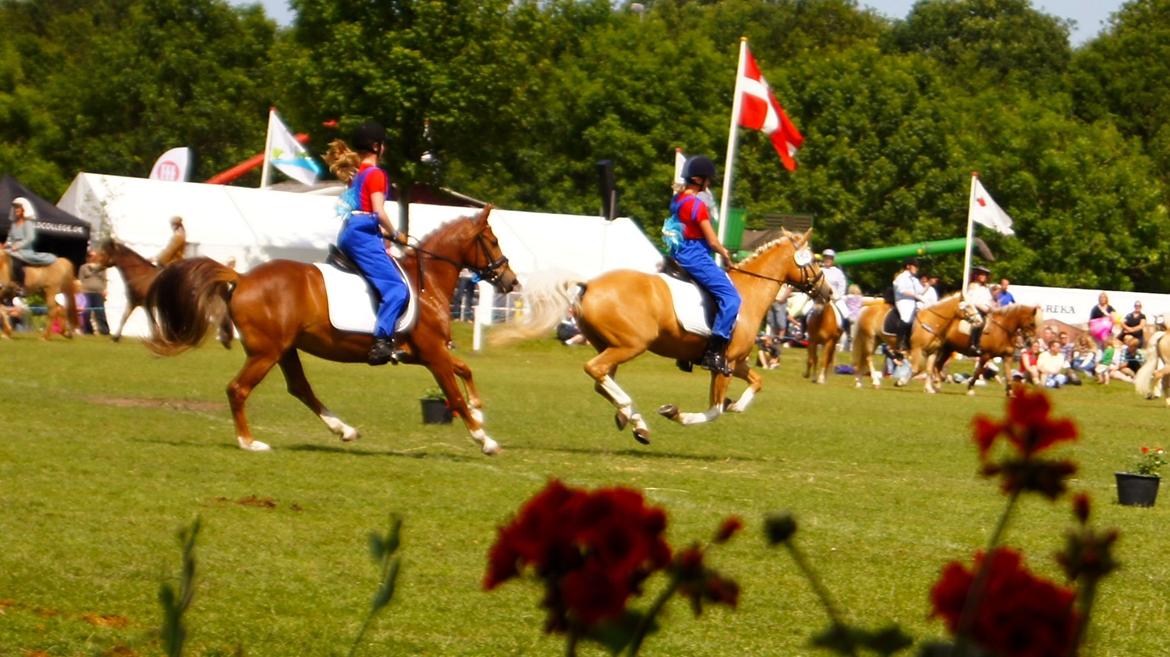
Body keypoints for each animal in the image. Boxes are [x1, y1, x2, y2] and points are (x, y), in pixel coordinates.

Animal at [141, 206, 517, 453]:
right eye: (493, 240)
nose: (511, 281)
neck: (427, 284)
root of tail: (242, 277)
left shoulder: (426, 353)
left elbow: (465, 370)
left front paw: (480, 410)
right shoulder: (433, 354)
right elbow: (454, 393)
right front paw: (485, 439)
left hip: (285, 349)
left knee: (300, 388)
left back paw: (343, 430)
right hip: (266, 352)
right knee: (238, 389)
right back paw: (249, 442)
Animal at [493, 227, 833, 441]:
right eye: (814, 261)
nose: (827, 292)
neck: (748, 292)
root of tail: (589, 284)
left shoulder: (735, 363)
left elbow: (757, 382)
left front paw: (737, 404)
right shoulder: (723, 365)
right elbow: (714, 410)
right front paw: (676, 413)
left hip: (609, 345)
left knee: (603, 382)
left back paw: (631, 419)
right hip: (630, 345)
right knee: (596, 372)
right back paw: (633, 415)